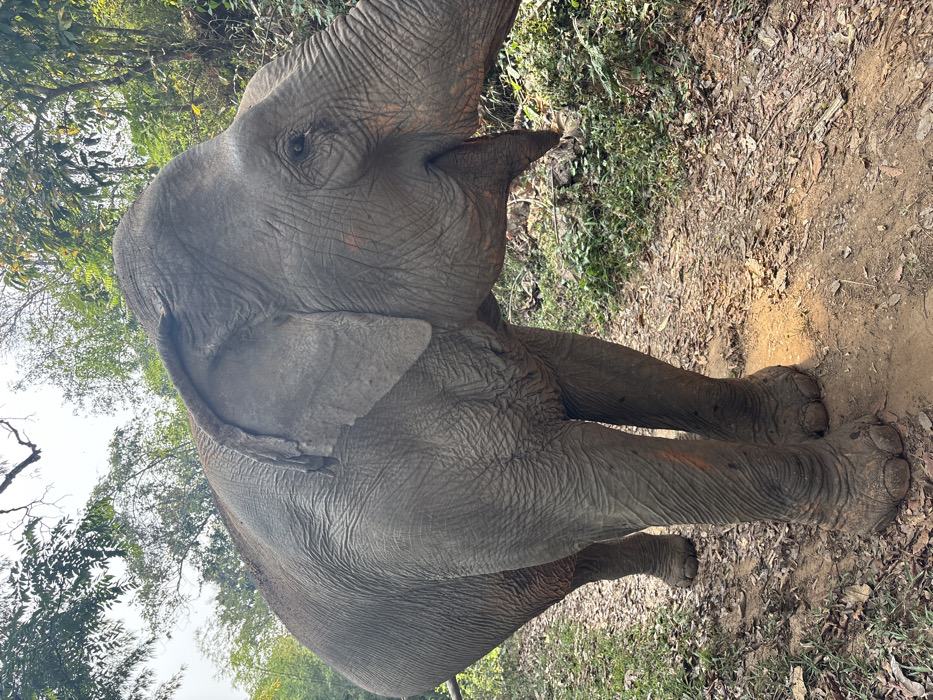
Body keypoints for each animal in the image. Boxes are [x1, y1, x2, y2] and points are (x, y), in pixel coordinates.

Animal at [112, 0, 911, 696]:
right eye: (303, 146)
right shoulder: (405, 499)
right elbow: (589, 480)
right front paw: (882, 472)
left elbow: (581, 367)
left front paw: (800, 406)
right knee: (568, 560)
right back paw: (684, 566)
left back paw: (684, 562)